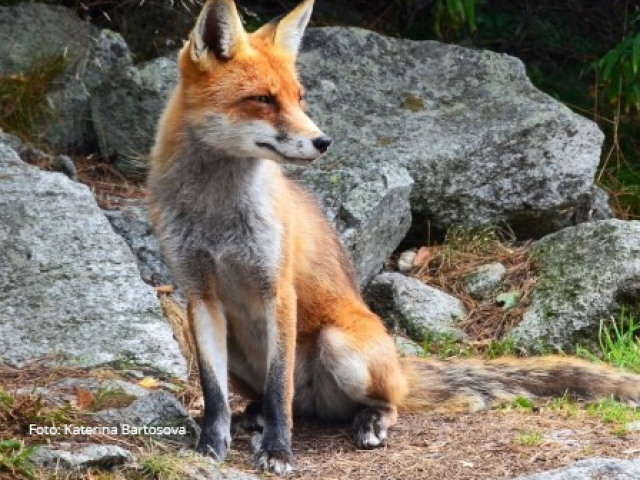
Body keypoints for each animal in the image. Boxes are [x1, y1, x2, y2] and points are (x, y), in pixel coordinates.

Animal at [148, 0, 640, 472]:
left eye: (299, 98)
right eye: (262, 99)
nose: (323, 141)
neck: (216, 216)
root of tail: (398, 366)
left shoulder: (278, 290)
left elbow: (278, 387)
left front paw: (279, 452)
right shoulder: (199, 296)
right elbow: (214, 394)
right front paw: (210, 447)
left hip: (341, 346)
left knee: (372, 402)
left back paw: (369, 421)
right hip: (233, 345)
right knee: (284, 402)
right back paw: (253, 416)